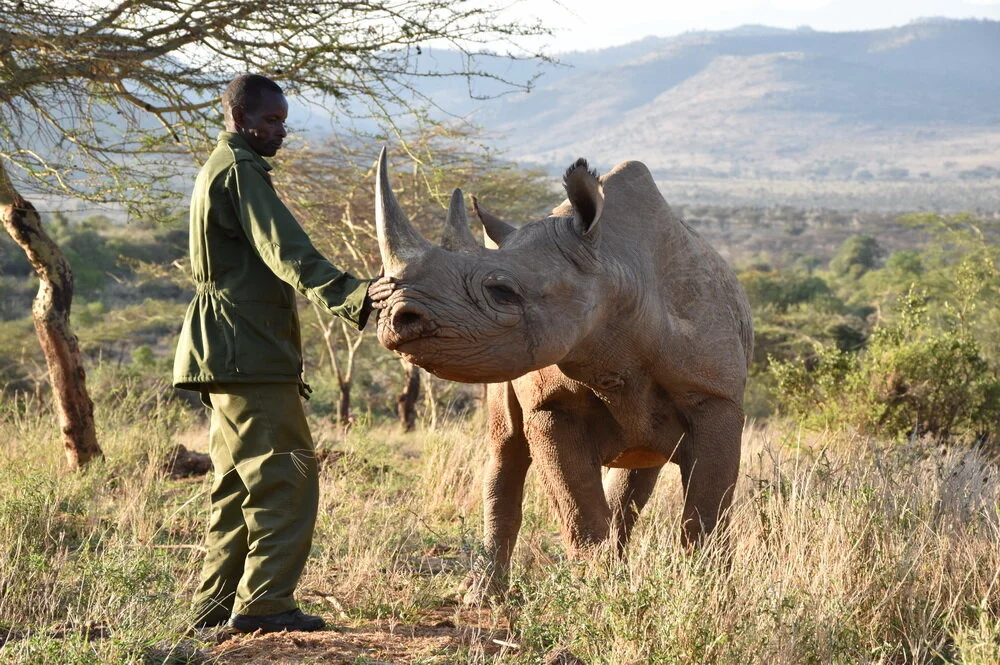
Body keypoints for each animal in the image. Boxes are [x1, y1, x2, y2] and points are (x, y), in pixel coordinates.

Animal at [371, 148, 753, 598]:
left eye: (502, 292)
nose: (393, 317)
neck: (616, 271)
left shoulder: (715, 397)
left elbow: (709, 507)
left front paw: (706, 592)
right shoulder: (552, 403)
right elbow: (578, 506)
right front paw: (601, 593)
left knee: (638, 467)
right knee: (506, 449)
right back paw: (482, 594)